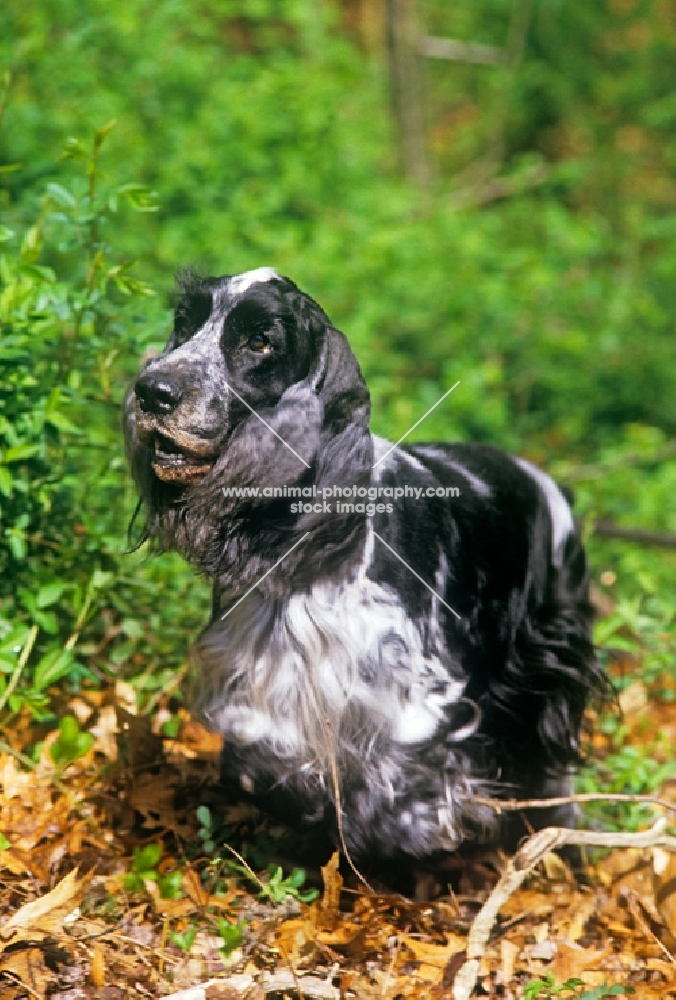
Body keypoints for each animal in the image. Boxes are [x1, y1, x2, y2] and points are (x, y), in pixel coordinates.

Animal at [124, 266, 604, 860]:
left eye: (260, 340)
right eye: (185, 323)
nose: (152, 391)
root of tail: (550, 486)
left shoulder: (417, 689)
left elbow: (410, 772)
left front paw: (413, 823)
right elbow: (262, 753)